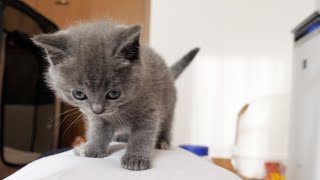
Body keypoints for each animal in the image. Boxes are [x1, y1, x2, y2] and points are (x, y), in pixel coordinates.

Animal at [31, 20, 199, 171]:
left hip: (169, 103)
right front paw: (92, 149)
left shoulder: (149, 111)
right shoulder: (97, 118)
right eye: (79, 94)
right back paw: (123, 136)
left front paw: (135, 158)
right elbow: (97, 132)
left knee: (166, 124)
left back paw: (162, 141)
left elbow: (143, 134)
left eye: (113, 93)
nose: (97, 109)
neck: (120, 110)